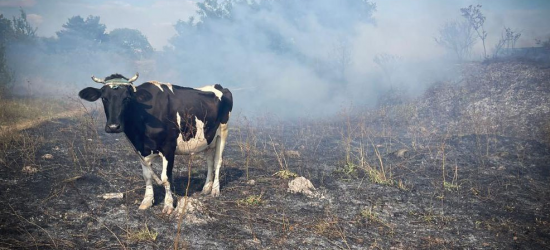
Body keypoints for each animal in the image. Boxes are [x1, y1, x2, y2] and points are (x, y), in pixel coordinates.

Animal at [78, 73, 233, 215]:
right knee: (210, 161)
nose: (113, 127)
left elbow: (165, 178)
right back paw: (206, 188)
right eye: (104, 98)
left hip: (223, 132)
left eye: (126, 98)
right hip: (208, 138)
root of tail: (218, 86)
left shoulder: (169, 148)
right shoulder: (141, 149)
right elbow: (147, 175)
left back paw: (215, 190)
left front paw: (169, 205)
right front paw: (147, 201)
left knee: (218, 161)